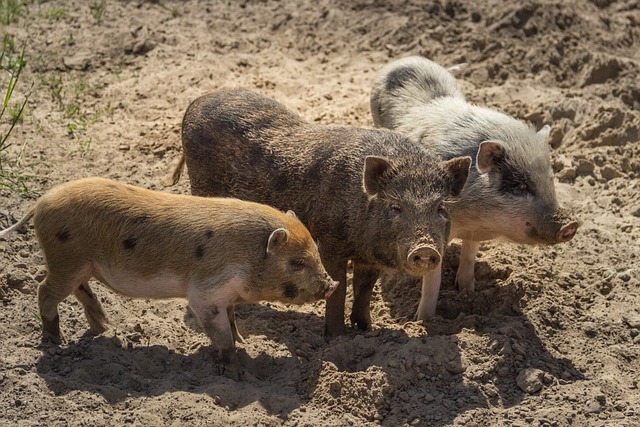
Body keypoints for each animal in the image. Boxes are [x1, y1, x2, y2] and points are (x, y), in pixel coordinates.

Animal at [0, 177, 338, 362]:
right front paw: (233, 365)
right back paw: (55, 341)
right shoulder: (206, 292)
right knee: (45, 291)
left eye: (315, 253)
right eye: (296, 262)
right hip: (65, 260)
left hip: (80, 265)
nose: (331, 285)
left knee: (81, 292)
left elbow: (232, 321)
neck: (247, 257)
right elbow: (219, 331)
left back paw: (104, 329)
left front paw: (244, 342)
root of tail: (40, 203)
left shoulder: (226, 295)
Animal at [172, 90, 472, 336]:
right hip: (201, 184)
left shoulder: (369, 258)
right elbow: (339, 288)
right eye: (395, 207)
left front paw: (366, 330)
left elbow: (364, 289)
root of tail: (196, 102)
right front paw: (335, 336)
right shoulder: (330, 244)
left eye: (440, 208)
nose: (426, 250)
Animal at [370, 55, 580, 320]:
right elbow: (432, 282)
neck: (476, 218)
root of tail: (408, 58)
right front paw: (422, 321)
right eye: (520, 185)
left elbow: (469, 255)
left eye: (550, 180)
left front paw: (467, 292)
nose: (570, 225)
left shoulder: (474, 232)